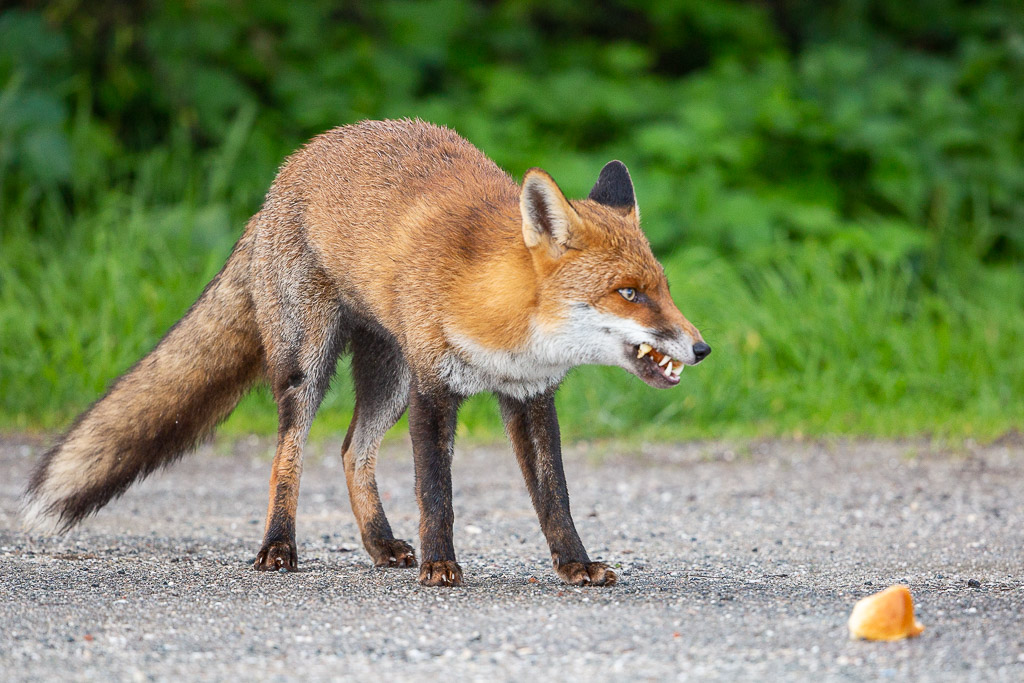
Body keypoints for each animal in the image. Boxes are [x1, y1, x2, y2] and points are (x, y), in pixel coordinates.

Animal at [25, 119, 710, 587]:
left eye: (664, 288)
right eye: (629, 293)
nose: (701, 348)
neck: (502, 322)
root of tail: (288, 171)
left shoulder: (530, 397)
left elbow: (554, 497)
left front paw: (575, 564)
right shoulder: (436, 391)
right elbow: (437, 493)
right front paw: (441, 565)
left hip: (389, 379)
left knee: (353, 449)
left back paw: (381, 546)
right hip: (311, 367)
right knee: (290, 456)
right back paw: (279, 548)